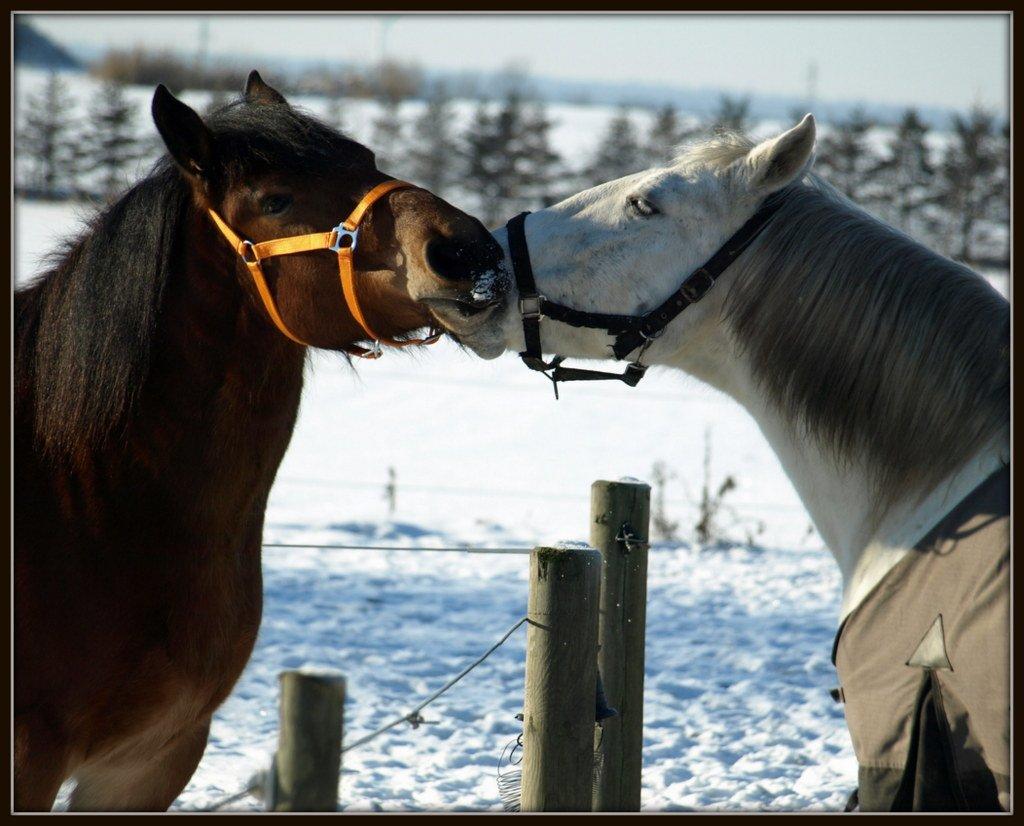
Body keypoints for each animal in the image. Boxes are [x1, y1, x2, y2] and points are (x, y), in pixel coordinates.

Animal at [14, 74, 505, 810]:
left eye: (367, 159)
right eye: (276, 200)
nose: (466, 253)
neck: (89, 497)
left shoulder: (148, 762)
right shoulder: (32, 758)